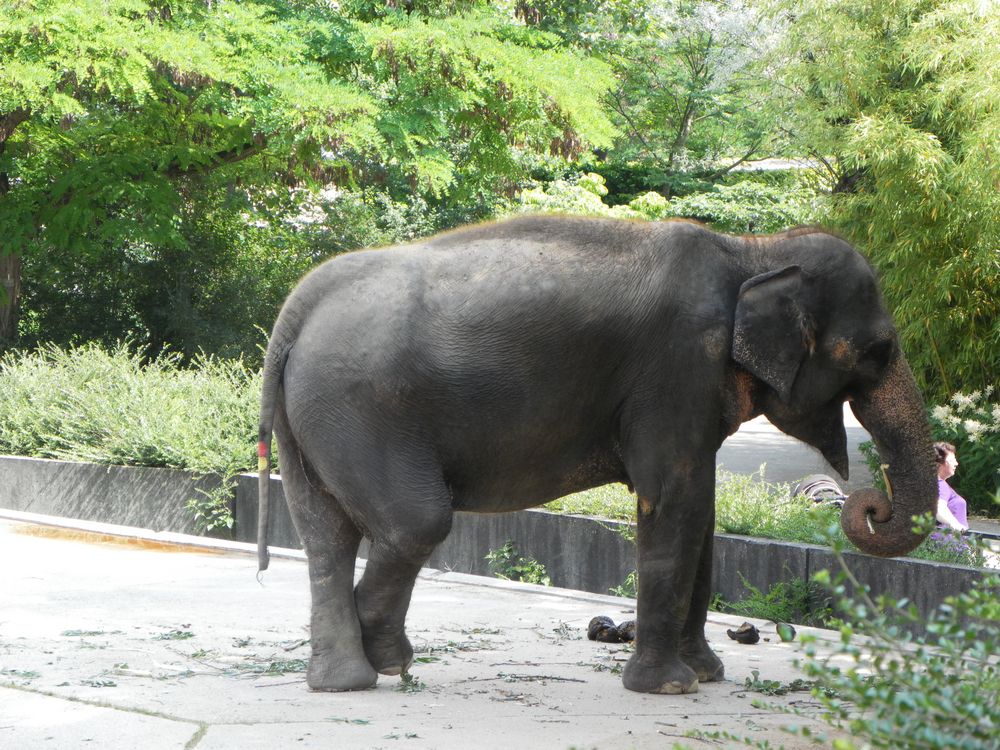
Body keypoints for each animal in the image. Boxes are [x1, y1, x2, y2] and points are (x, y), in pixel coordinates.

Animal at [256, 214, 936, 696]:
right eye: (878, 351)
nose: (868, 505)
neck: (752, 250)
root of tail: (295, 310)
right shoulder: (676, 370)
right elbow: (676, 503)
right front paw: (670, 687)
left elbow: (702, 513)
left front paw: (706, 673)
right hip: (358, 409)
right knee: (414, 522)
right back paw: (385, 661)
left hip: (315, 416)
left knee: (326, 534)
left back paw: (347, 679)